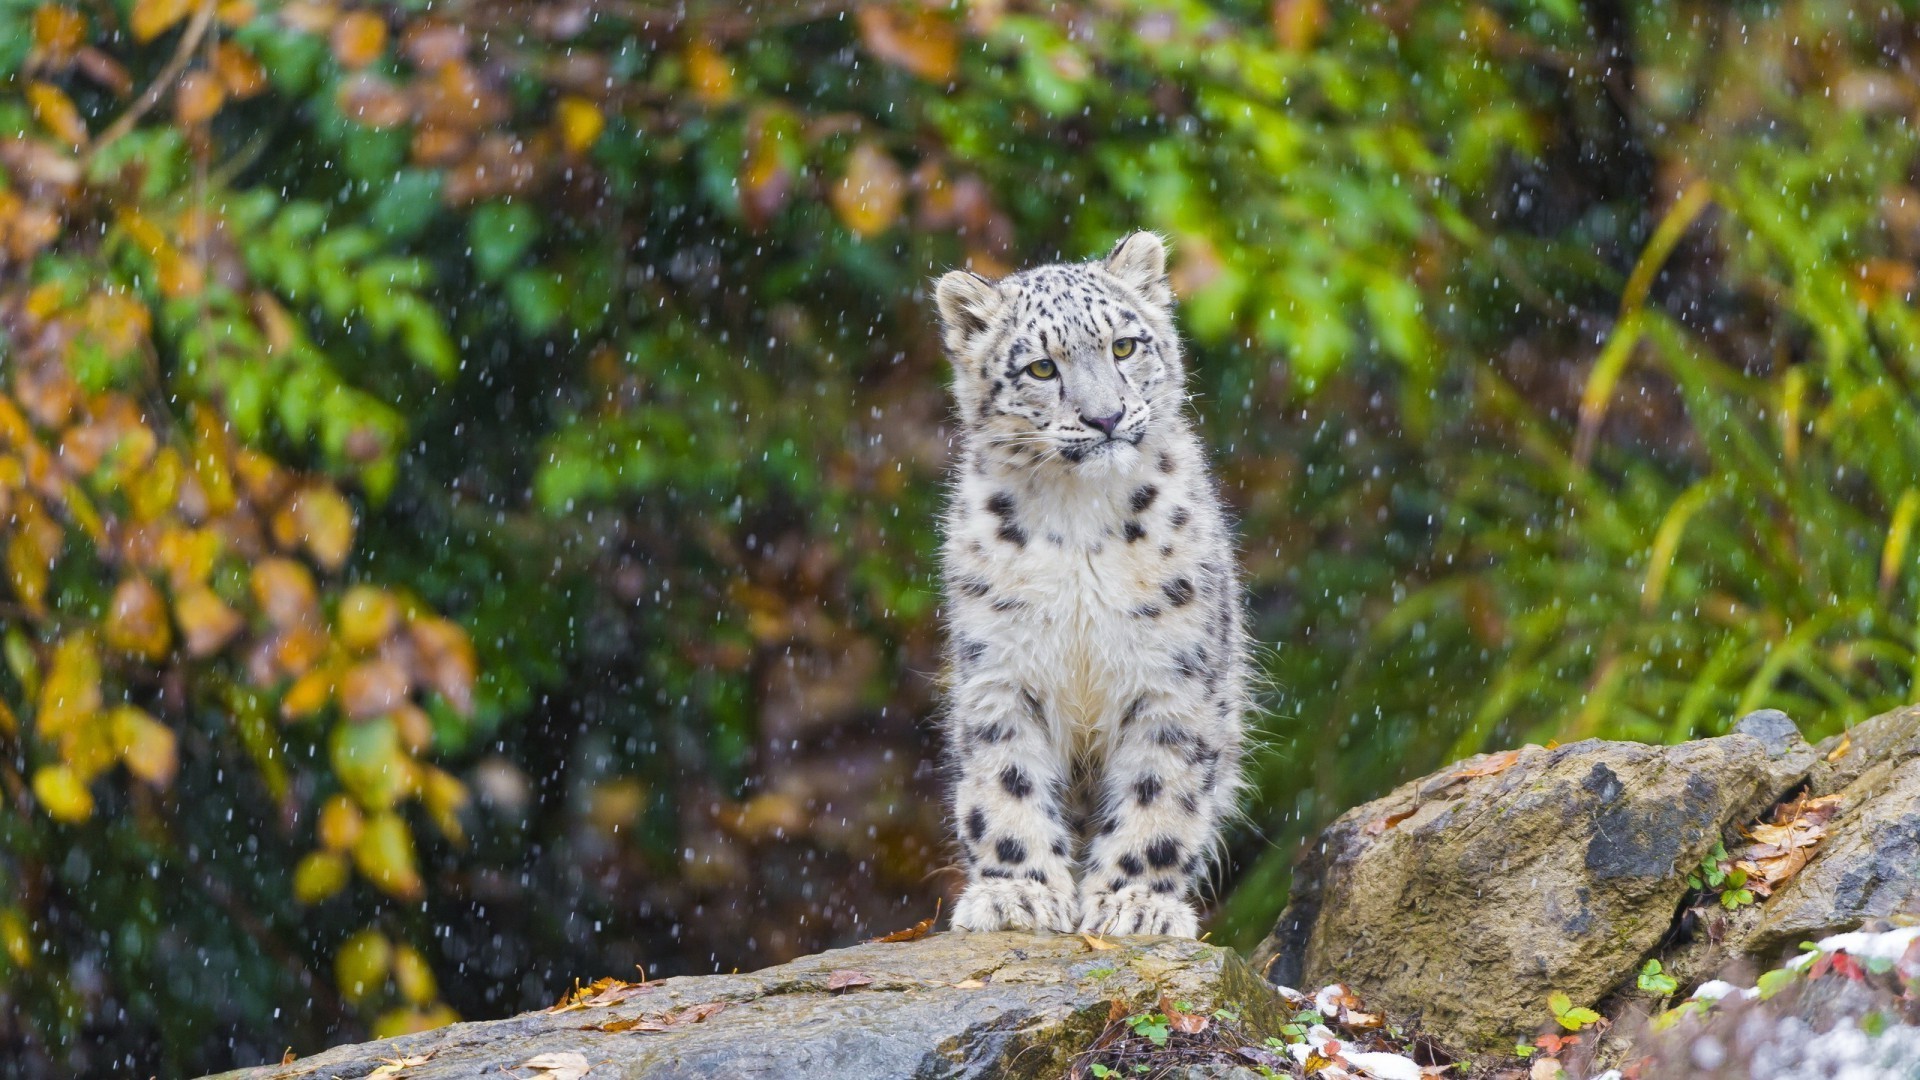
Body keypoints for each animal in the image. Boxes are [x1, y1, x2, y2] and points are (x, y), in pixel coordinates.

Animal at [933, 233, 1259, 933]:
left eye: (1124, 347)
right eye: (1040, 369)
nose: (1105, 417)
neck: (1079, 517)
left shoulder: (1173, 675)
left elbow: (1161, 788)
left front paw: (1136, 902)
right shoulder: (1001, 670)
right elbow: (1006, 780)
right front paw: (1018, 892)